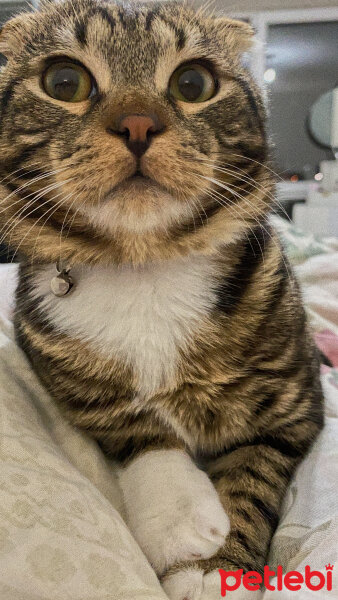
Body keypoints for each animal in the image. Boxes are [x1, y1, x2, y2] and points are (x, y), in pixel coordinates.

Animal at [0, 0, 324, 596]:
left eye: (193, 83)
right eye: (64, 81)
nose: (137, 123)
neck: (144, 266)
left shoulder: (294, 411)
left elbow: (252, 479)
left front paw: (216, 571)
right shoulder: (78, 389)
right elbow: (137, 428)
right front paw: (180, 522)